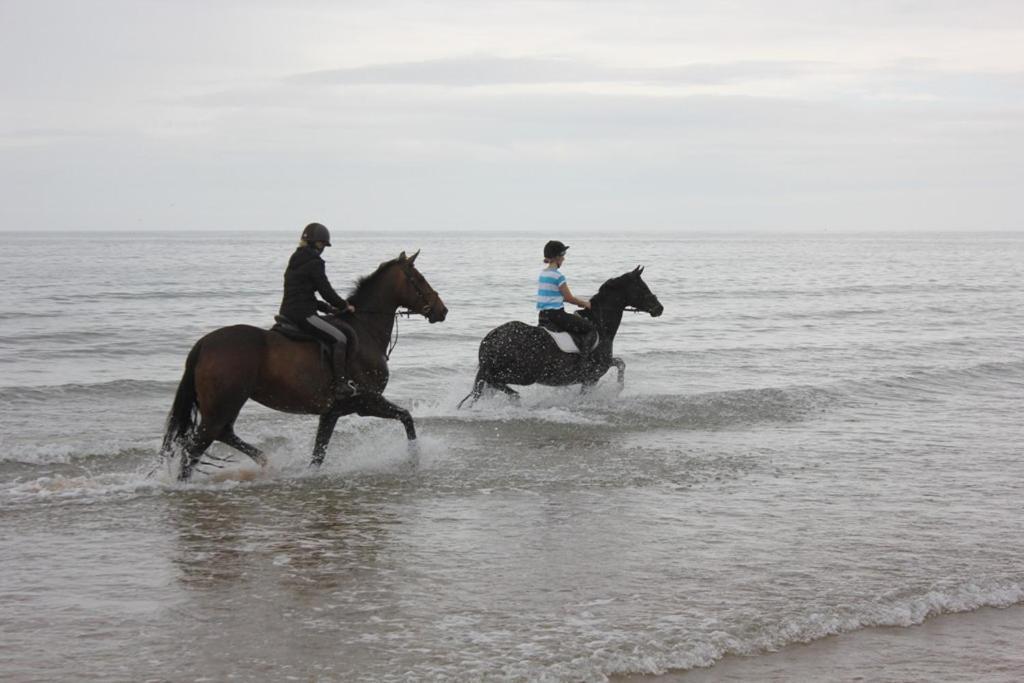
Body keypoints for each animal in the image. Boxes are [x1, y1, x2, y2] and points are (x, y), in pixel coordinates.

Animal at [161, 250, 446, 481]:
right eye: (419, 279)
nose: (442, 311)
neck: (366, 329)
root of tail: (203, 344)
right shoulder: (367, 402)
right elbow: (406, 418)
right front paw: (414, 458)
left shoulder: (332, 412)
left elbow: (318, 454)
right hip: (223, 405)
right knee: (197, 446)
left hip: (225, 405)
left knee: (222, 434)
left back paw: (265, 461)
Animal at [456, 266, 663, 405]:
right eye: (642, 288)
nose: (659, 308)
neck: (600, 325)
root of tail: (491, 338)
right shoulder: (592, 377)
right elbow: (612, 371)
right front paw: (615, 390)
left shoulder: (602, 367)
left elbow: (620, 363)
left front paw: (617, 389)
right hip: (523, 374)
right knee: (493, 381)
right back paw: (515, 398)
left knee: (487, 385)